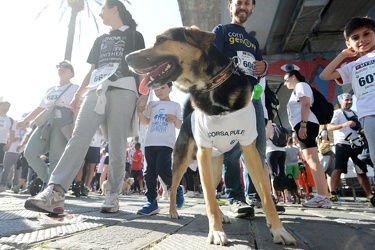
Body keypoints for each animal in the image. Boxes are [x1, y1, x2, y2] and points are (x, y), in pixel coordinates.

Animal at [126, 25, 296, 246]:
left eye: (162, 40)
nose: (127, 57)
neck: (212, 85)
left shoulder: (249, 149)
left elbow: (265, 195)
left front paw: (278, 230)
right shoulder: (203, 152)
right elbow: (207, 198)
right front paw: (216, 231)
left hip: (214, 169)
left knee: (213, 193)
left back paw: (222, 215)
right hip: (182, 162)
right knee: (175, 188)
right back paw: (173, 211)